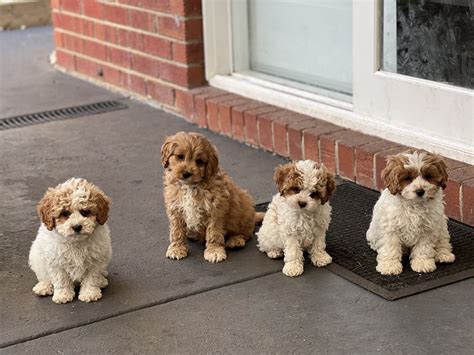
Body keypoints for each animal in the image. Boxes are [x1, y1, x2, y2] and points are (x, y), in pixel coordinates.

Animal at [162, 132, 260, 262]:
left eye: (199, 161)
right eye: (180, 156)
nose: (186, 173)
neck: (190, 186)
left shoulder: (215, 209)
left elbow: (214, 232)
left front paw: (214, 251)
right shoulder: (175, 208)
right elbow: (176, 230)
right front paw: (177, 248)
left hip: (245, 209)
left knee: (246, 233)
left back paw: (235, 240)